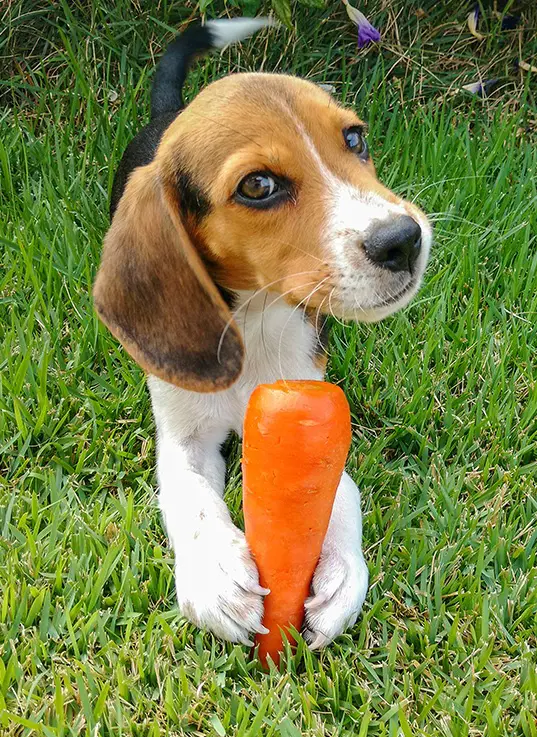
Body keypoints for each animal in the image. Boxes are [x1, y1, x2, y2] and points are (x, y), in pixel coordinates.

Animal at [93, 17, 432, 648]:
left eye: (355, 139)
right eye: (257, 186)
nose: (403, 239)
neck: (259, 319)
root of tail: (168, 112)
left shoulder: (315, 401)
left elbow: (341, 491)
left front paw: (342, 575)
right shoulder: (183, 436)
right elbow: (190, 495)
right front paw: (214, 574)